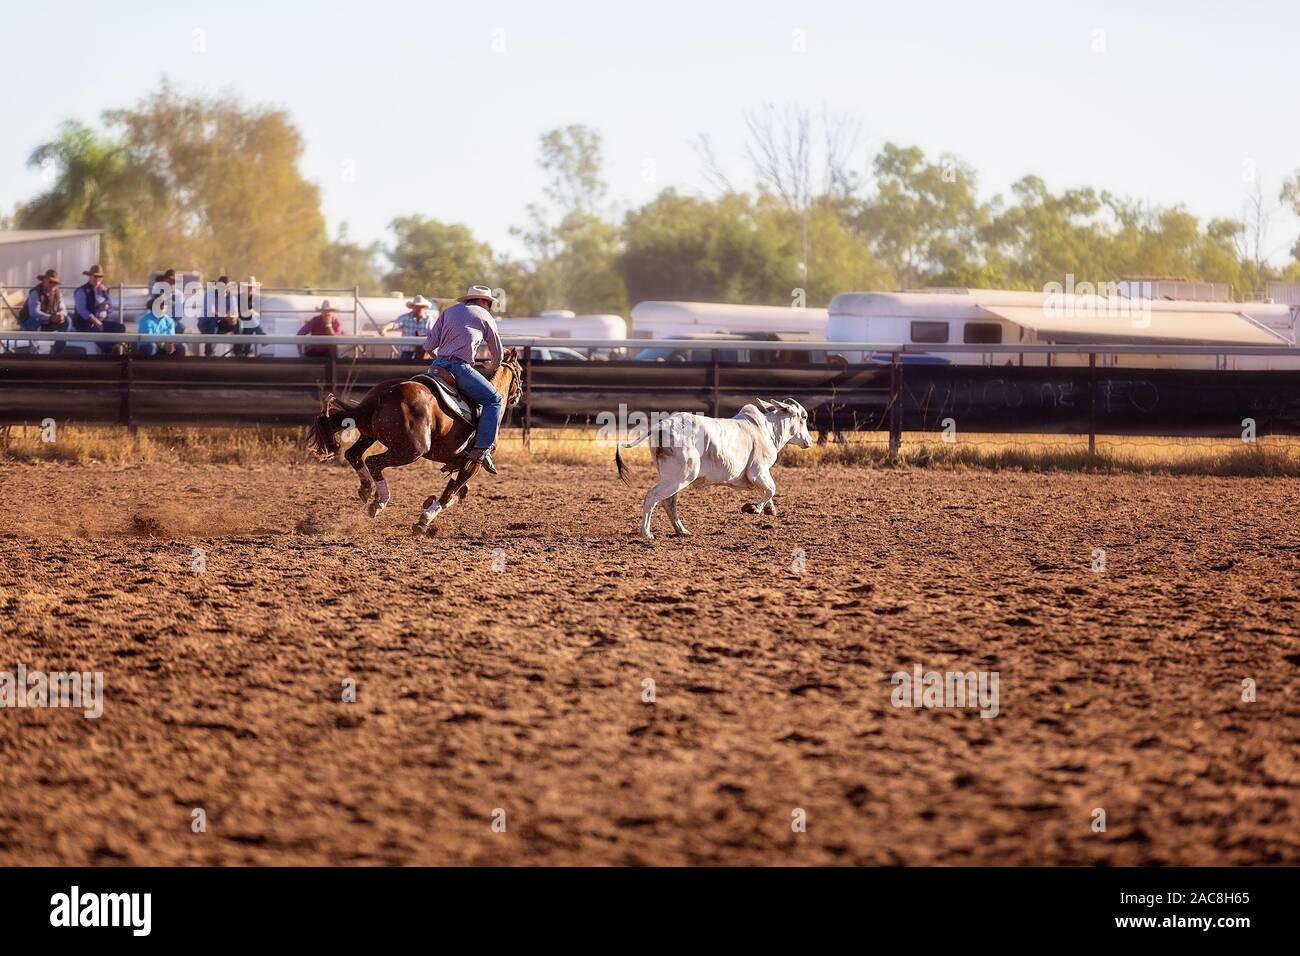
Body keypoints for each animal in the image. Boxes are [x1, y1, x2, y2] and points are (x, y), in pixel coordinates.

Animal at [309, 348, 522, 535]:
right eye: (520, 370)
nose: (518, 395)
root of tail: (385, 393)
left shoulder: (459, 462)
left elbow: (457, 490)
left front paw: (430, 505)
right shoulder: (473, 463)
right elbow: (450, 493)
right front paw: (424, 521)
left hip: (370, 435)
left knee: (353, 455)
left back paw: (367, 488)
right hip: (411, 450)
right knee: (373, 461)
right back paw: (380, 501)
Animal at [613, 398, 806, 546]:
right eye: (803, 417)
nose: (808, 441)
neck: (767, 429)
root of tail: (661, 426)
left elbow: (768, 490)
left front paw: (769, 509)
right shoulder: (758, 471)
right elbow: (771, 489)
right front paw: (754, 508)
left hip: (673, 478)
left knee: (669, 502)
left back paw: (682, 530)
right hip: (681, 477)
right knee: (652, 497)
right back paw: (646, 533)